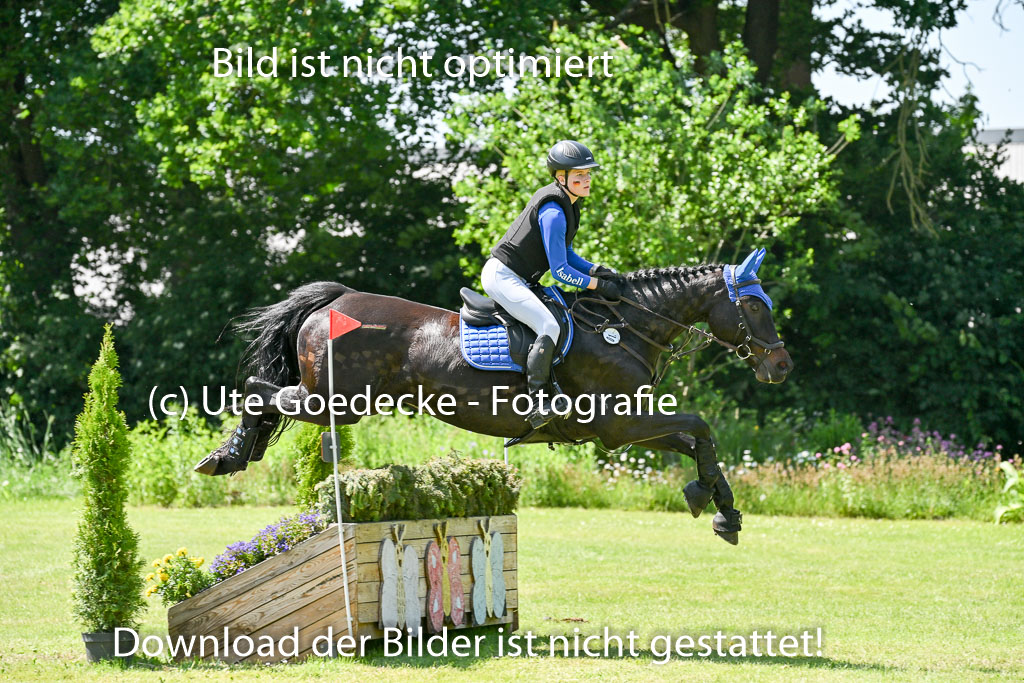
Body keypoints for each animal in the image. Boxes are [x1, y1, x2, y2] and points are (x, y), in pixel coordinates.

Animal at [195, 249, 792, 544]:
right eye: (754, 306)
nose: (781, 365)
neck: (626, 327)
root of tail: (335, 301)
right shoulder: (617, 425)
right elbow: (701, 426)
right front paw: (716, 506)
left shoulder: (623, 431)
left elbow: (696, 441)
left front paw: (717, 505)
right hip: (336, 401)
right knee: (257, 392)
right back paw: (229, 456)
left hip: (337, 400)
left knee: (263, 395)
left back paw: (232, 454)